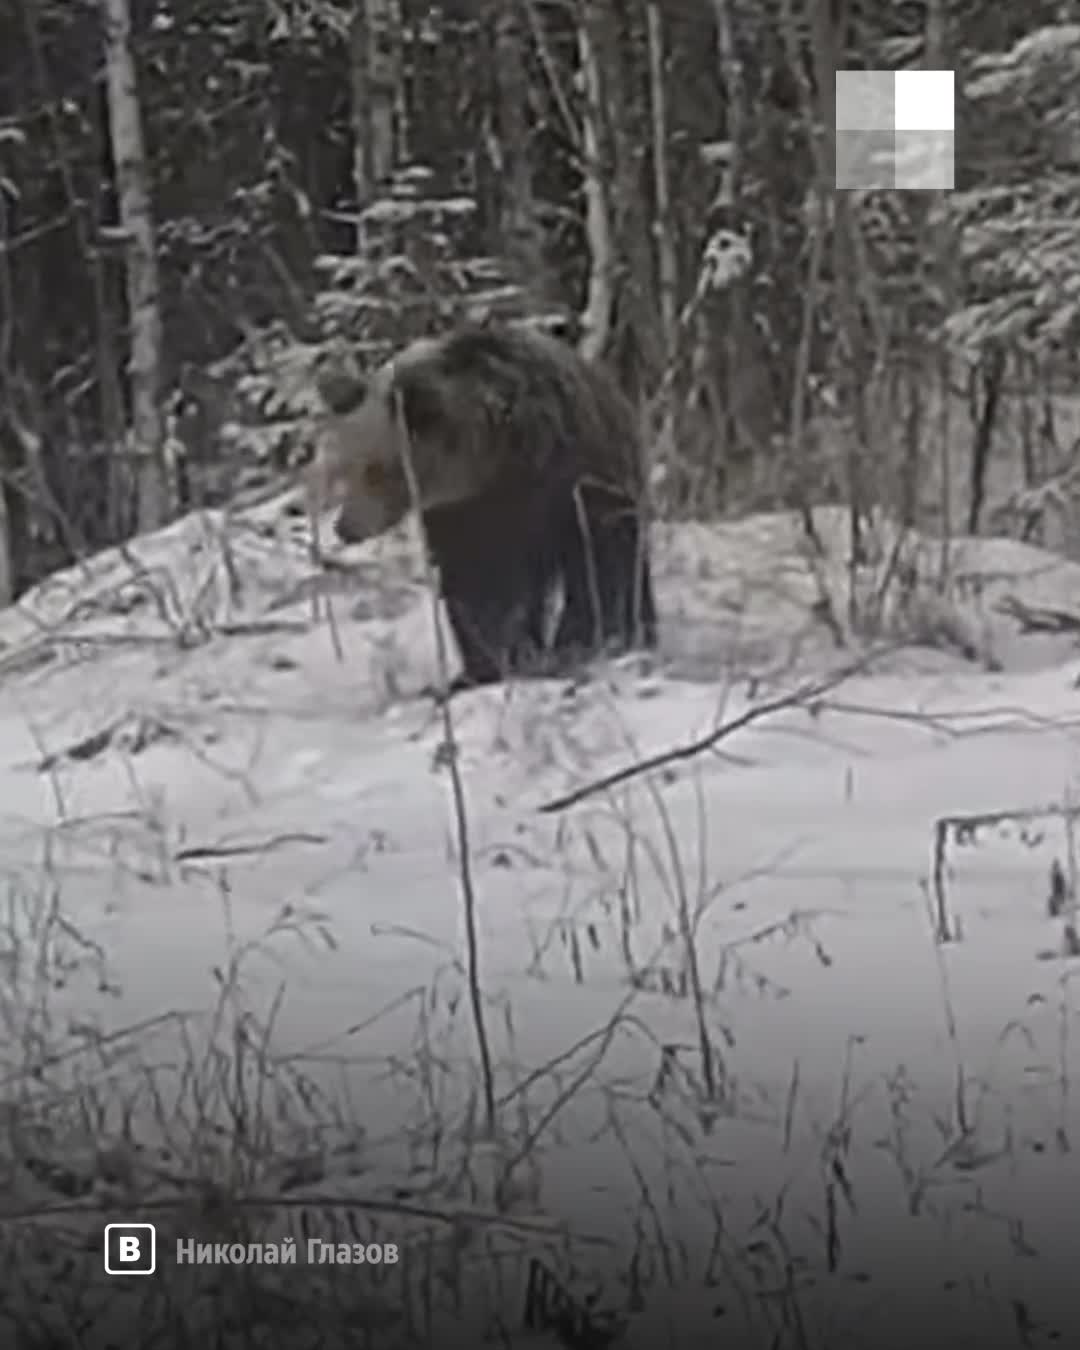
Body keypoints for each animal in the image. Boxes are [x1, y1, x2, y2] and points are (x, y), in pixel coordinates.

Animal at [307, 317, 653, 685]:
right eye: (350, 465)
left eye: (376, 469)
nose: (345, 527)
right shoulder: (462, 514)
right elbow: (478, 586)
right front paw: (490, 661)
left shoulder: (564, 483)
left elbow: (595, 561)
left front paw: (583, 640)